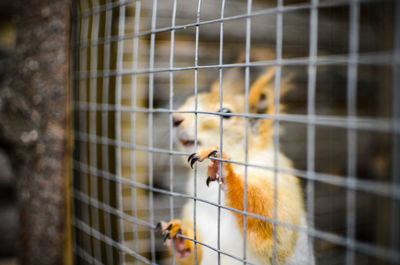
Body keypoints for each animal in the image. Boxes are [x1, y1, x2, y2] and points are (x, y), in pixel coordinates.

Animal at [156, 65, 312, 264]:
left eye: (226, 112)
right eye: (190, 99)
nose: (175, 119)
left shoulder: (280, 183)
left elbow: (273, 225)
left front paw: (224, 170)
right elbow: (192, 255)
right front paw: (179, 236)